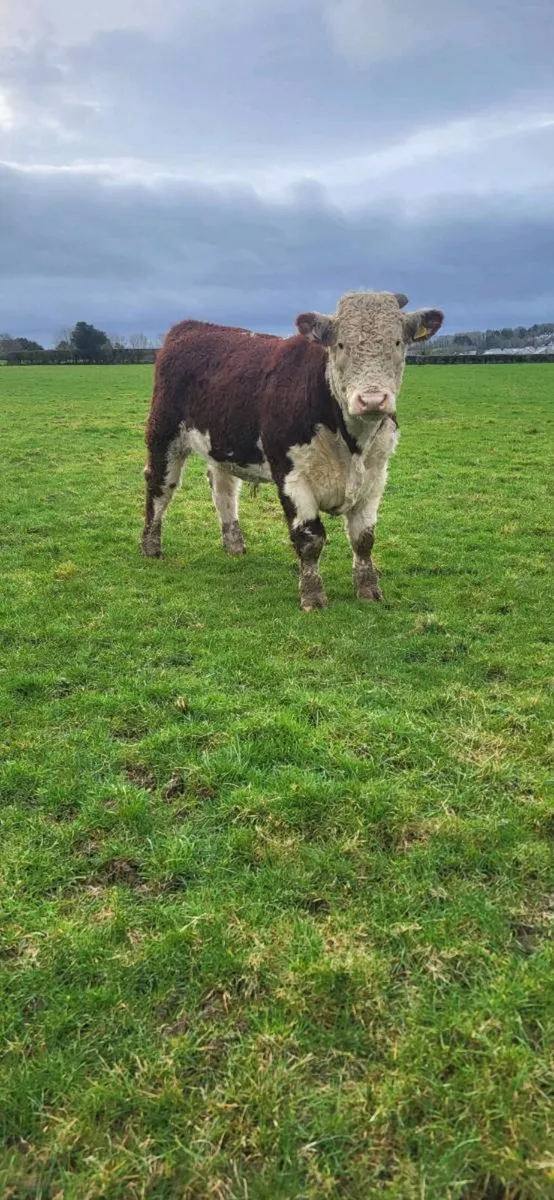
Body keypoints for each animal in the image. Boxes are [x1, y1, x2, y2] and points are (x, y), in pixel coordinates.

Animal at [142, 291, 443, 610]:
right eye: (340, 345)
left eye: (397, 342)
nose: (372, 400)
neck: (351, 445)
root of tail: (190, 326)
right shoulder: (291, 477)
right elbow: (310, 539)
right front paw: (313, 596)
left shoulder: (375, 477)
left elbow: (363, 538)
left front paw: (369, 590)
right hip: (164, 434)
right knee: (160, 487)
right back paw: (150, 546)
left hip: (221, 445)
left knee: (223, 490)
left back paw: (234, 545)